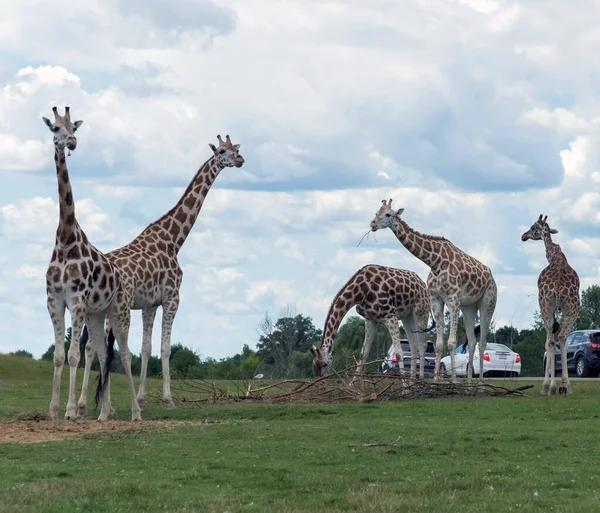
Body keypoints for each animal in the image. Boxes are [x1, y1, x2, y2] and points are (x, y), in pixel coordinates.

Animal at [42, 105, 142, 420]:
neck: (65, 239)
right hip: (98, 315)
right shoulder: (54, 299)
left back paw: (136, 412)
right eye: (55, 128)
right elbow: (59, 356)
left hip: (119, 310)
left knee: (125, 353)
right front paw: (52, 411)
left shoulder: (76, 300)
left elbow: (73, 355)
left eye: (74, 127)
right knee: (103, 352)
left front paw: (71, 411)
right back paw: (105, 413)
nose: (72, 143)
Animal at [76, 133, 245, 412]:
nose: (241, 160)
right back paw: (92, 405)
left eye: (236, 148)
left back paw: (92, 405)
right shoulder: (172, 298)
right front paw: (168, 399)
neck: (174, 240)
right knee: (96, 347)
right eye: (222, 151)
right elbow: (166, 349)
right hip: (116, 308)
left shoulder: (150, 304)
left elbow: (147, 348)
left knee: (93, 347)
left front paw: (142, 399)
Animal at [370, 199, 496, 380]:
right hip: (469, 307)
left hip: (488, 303)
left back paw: (478, 384)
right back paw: (469, 382)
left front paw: (452, 380)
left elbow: (451, 343)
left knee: (483, 343)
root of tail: (491, 276)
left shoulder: (453, 299)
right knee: (472, 341)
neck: (435, 262)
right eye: (376, 212)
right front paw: (437, 379)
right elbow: (439, 344)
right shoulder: (436, 300)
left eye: (387, 214)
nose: (372, 224)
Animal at [520, 214, 580, 394]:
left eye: (533, 227)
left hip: (549, 306)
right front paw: (558, 384)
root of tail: (558, 287)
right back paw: (560, 385)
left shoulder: (548, 309)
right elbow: (558, 344)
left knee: (555, 340)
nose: (523, 236)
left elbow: (548, 343)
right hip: (569, 309)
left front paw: (546, 385)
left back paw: (553, 386)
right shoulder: (556, 311)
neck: (554, 255)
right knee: (560, 338)